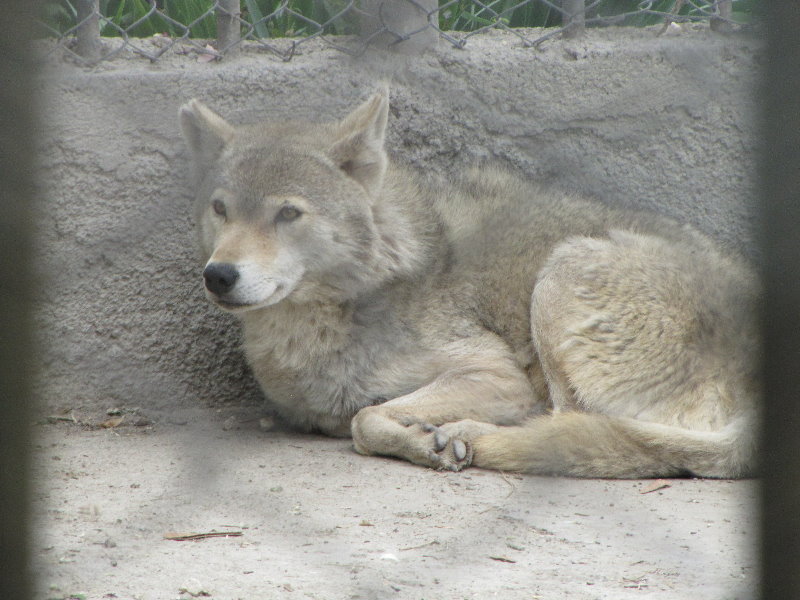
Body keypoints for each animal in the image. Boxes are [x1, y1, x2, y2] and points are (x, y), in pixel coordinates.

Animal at [179, 86, 760, 478]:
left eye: (288, 214)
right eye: (221, 209)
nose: (219, 275)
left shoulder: (495, 373)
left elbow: (367, 419)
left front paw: (427, 442)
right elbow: (365, 416)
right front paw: (423, 439)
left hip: (562, 272)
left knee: (569, 425)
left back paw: (470, 435)